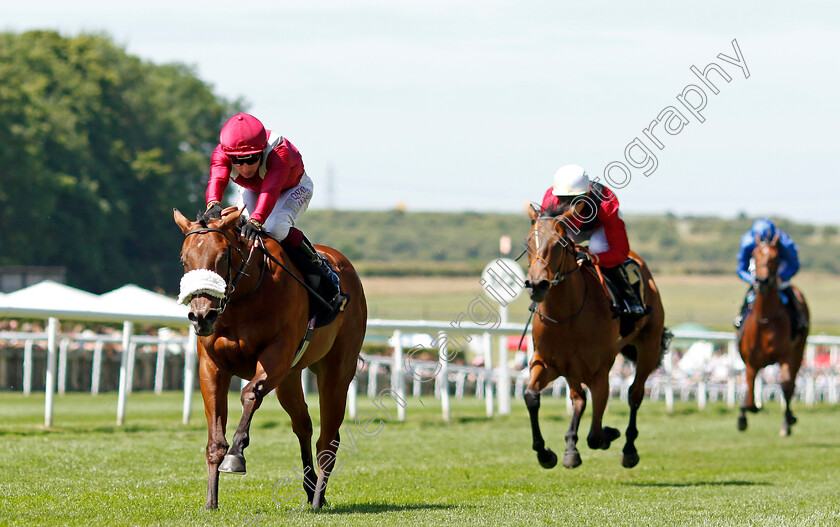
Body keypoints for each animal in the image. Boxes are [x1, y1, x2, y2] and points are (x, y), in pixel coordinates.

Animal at [172, 208, 366, 510]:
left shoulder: (276, 356)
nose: (202, 316)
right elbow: (215, 437)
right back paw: (311, 489)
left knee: (328, 439)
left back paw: (318, 498)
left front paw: (236, 455)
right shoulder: (212, 367)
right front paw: (211, 501)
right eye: (184, 259)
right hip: (290, 378)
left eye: (224, 255)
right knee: (303, 425)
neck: (243, 297)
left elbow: (251, 393)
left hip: (336, 370)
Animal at [520, 206, 668, 470]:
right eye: (528, 242)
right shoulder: (546, 363)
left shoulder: (600, 373)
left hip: (648, 347)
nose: (537, 285)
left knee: (635, 394)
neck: (567, 316)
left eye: (560, 242)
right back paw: (571, 447)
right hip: (571, 369)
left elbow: (596, 435)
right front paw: (545, 454)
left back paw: (629, 449)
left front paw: (610, 434)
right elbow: (531, 396)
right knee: (578, 398)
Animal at [736, 235, 808, 438]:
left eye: (775, 257)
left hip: (799, 350)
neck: (765, 320)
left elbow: (786, 385)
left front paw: (788, 421)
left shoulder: (786, 355)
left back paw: (788, 420)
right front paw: (743, 416)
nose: (762, 280)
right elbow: (749, 391)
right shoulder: (751, 362)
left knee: (790, 384)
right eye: (754, 255)